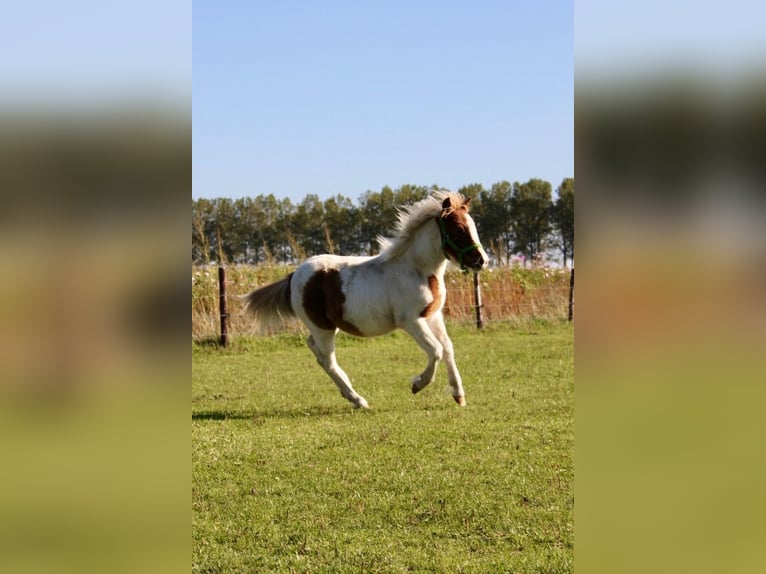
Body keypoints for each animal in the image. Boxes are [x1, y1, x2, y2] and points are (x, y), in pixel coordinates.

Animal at [246, 192, 488, 410]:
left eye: (474, 227)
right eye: (458, 229)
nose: (481, 261)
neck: (417, 270)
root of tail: (294, 275)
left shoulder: (433, 316)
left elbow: (447, 348)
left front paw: (459, 395)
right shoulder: (411, 321)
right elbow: (436, 350)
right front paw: (417, 384)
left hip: (327, 327)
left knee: (315, 349)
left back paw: (351, 395)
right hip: (322, 328)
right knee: (327, 360)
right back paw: (359, 400)